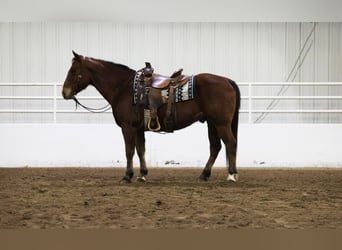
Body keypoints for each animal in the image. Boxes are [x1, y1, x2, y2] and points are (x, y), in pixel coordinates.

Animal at [63, 50, 240, 184]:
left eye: (73, 71)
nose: (64, 92)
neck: (124, 88)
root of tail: (227, 81)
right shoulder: (138, 129)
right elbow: (140, 150)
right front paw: (142, 174)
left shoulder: (128, 127)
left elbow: (129, 151)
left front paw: (127, 176)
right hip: (212, 123)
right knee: (215, 147)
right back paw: (204, 174)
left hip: (221, 123)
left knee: (230, 143)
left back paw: (231, 175)